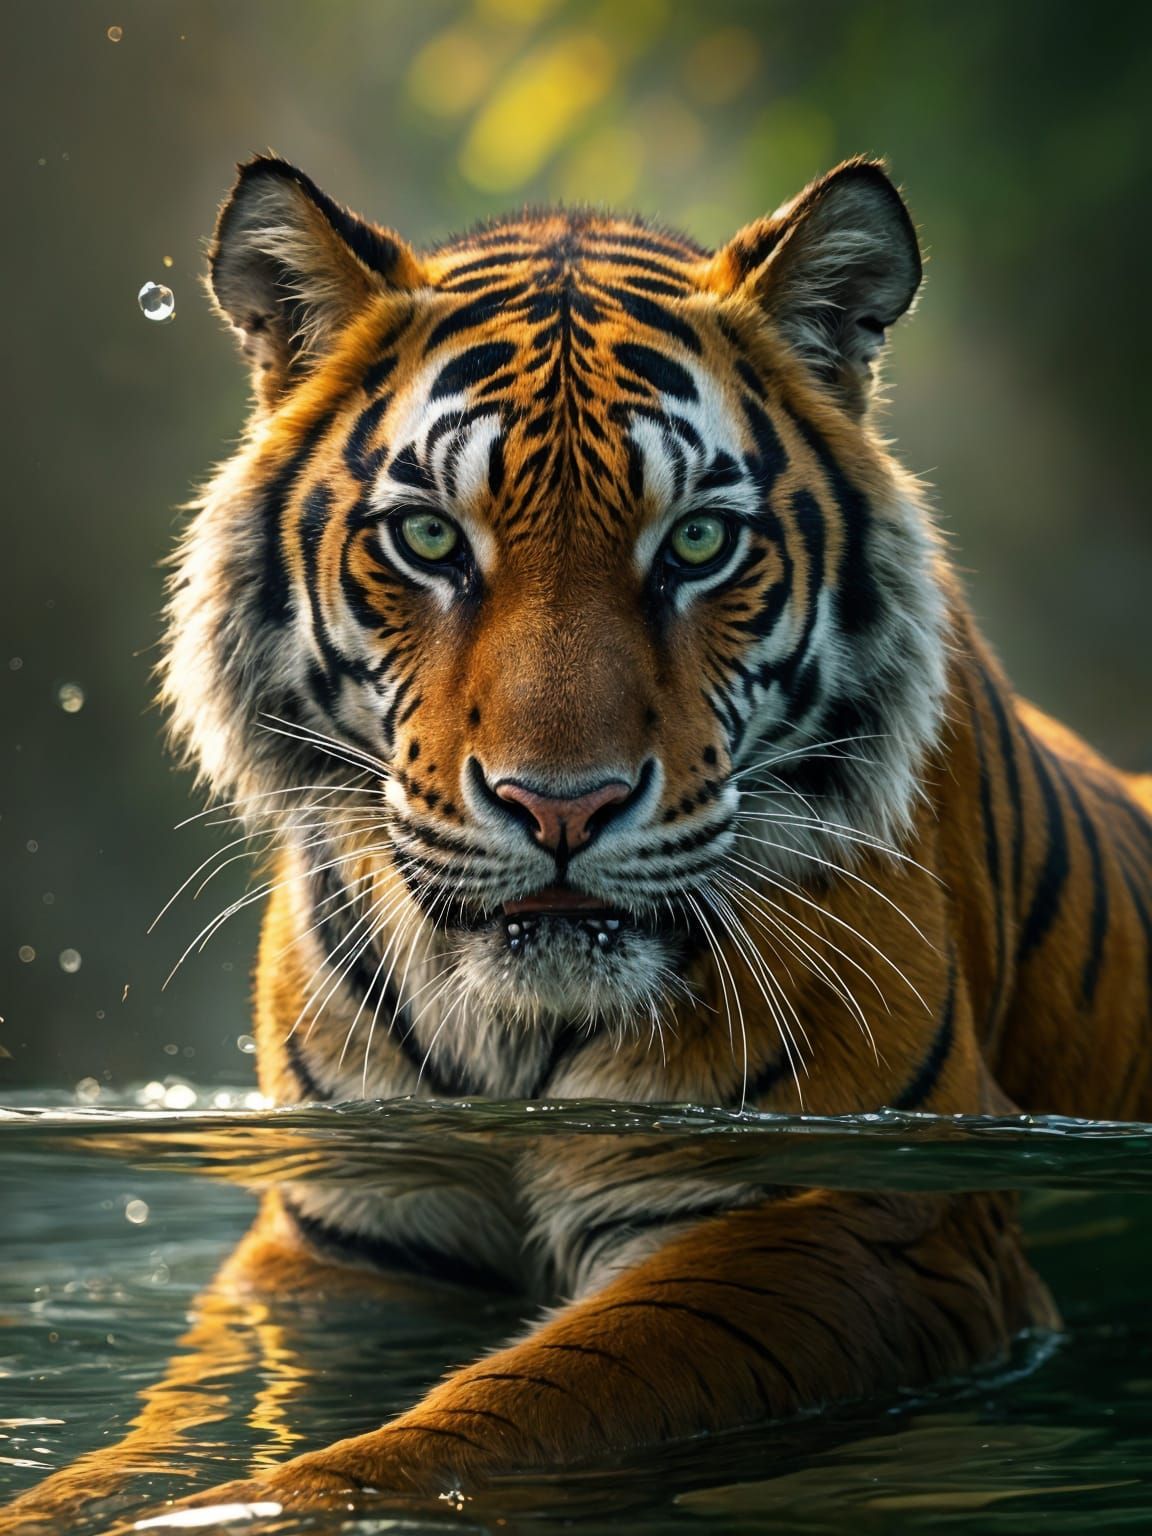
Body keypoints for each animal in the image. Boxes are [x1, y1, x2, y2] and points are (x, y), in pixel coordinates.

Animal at [7, 151, 1152, 1528]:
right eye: (430, 538)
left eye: (699, 542)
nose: (562, 804)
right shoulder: (347, 1233)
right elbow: (181, 1418)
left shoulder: (861, 1216)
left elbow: (497, 1417)